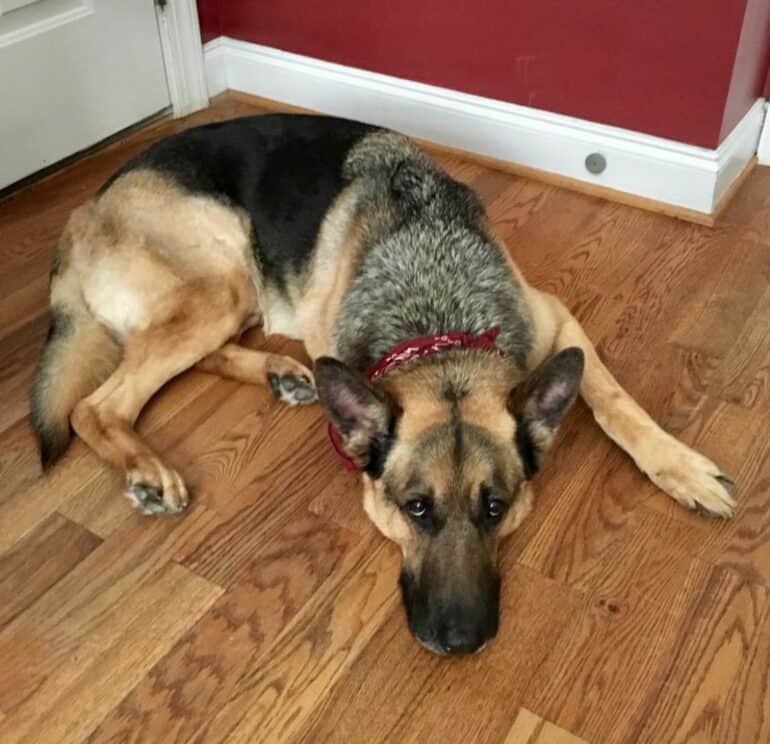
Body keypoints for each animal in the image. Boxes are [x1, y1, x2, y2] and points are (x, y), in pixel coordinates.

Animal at [33, 113, 736, 652]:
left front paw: (682, 467)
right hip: (219, 282)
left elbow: (617, 401)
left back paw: (279, 373)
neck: (438, 311)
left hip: (229, 296)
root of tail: (81, 213)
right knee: (96, 405)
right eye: (415, 509)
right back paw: (148, 468)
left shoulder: (557, 318)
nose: (460, 640)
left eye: (497, 508)